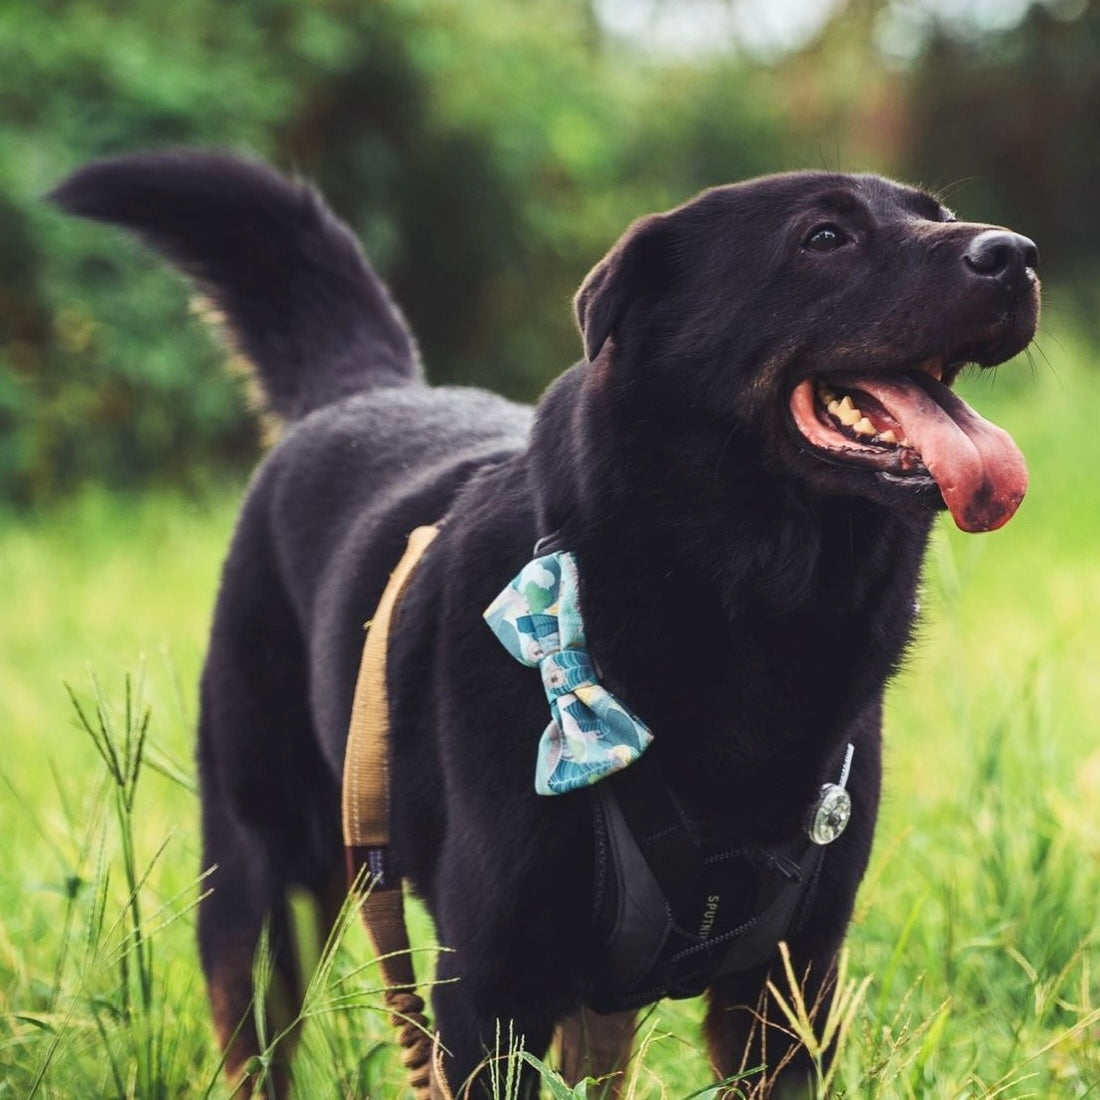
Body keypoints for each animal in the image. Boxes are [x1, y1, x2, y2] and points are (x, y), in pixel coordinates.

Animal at [51, 150, 1042, 1095]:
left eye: (940, 216)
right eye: (825, 237)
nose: (1015, 256)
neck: (742, 607)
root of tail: (358, 393)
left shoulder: (786, 991)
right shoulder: (491, 991)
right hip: (264, 893)